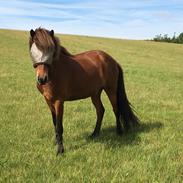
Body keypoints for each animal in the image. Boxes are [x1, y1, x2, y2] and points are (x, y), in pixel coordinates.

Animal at [29, 27, 139, 155]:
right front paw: (56, 143)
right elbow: (55, 122)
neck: (54, 72)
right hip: (95, 93)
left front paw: (60, 150)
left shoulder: (59, 102)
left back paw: (119, 132)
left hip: (110, 90)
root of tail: (112, 60)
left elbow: (59, 126)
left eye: (51, 51)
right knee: (100, 110)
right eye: (34, 50)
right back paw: (95, 134)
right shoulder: (48, 101)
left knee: (116, 109)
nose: (42, 79)